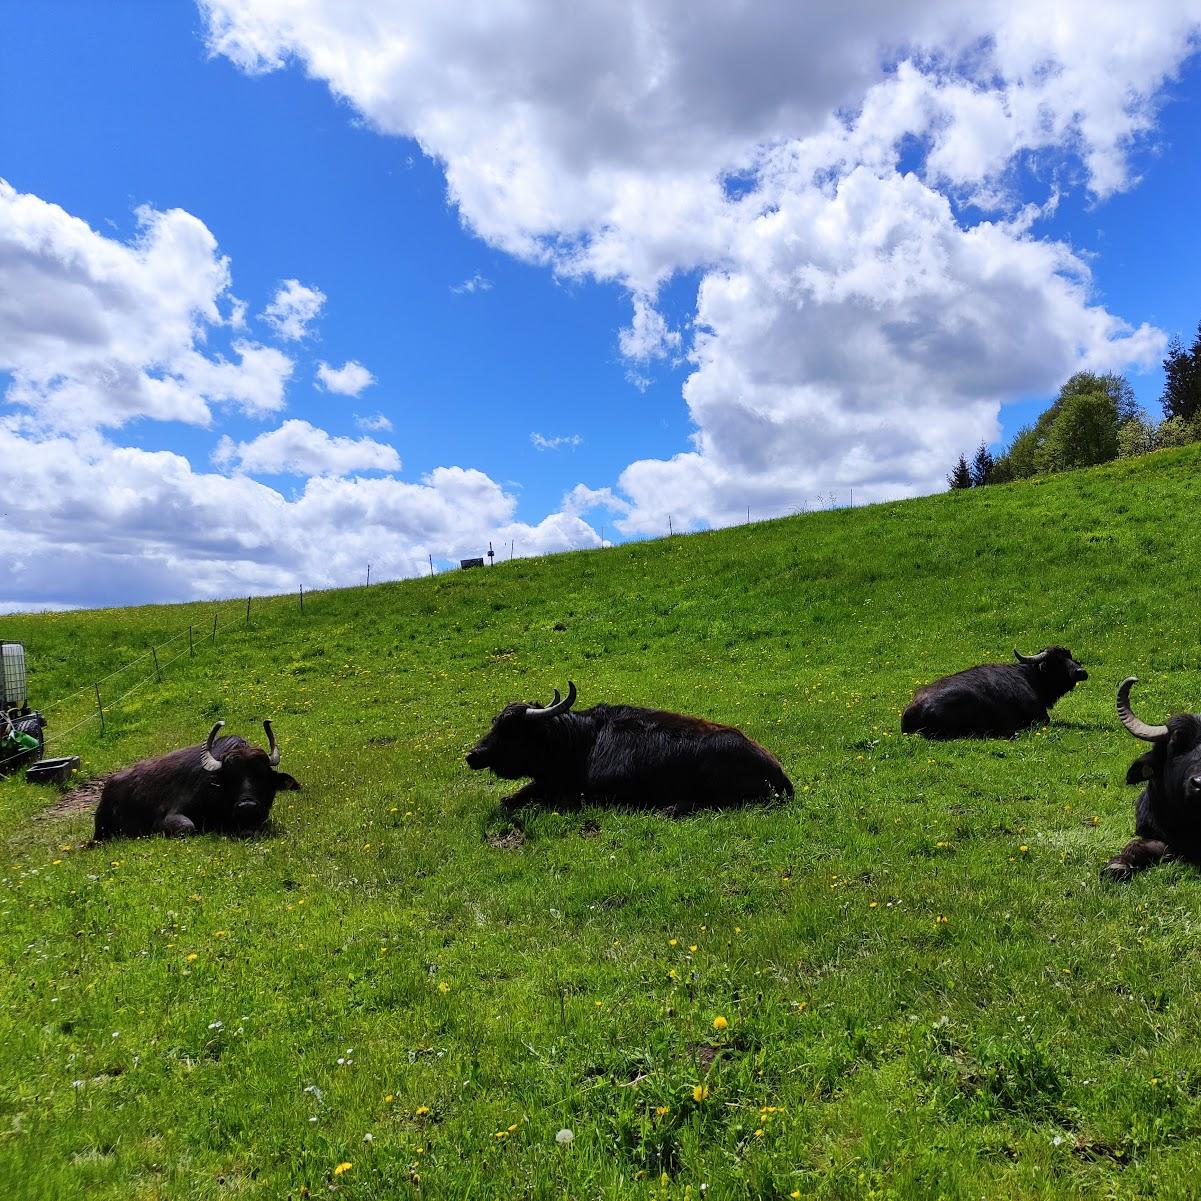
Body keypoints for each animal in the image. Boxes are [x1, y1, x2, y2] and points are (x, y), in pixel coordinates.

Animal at [903, 648, 1090, 739]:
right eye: (1057, 660)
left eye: (1069, 655)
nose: (1081, 672)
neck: (1029, 675)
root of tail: (913, 709)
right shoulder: (1040, 717)